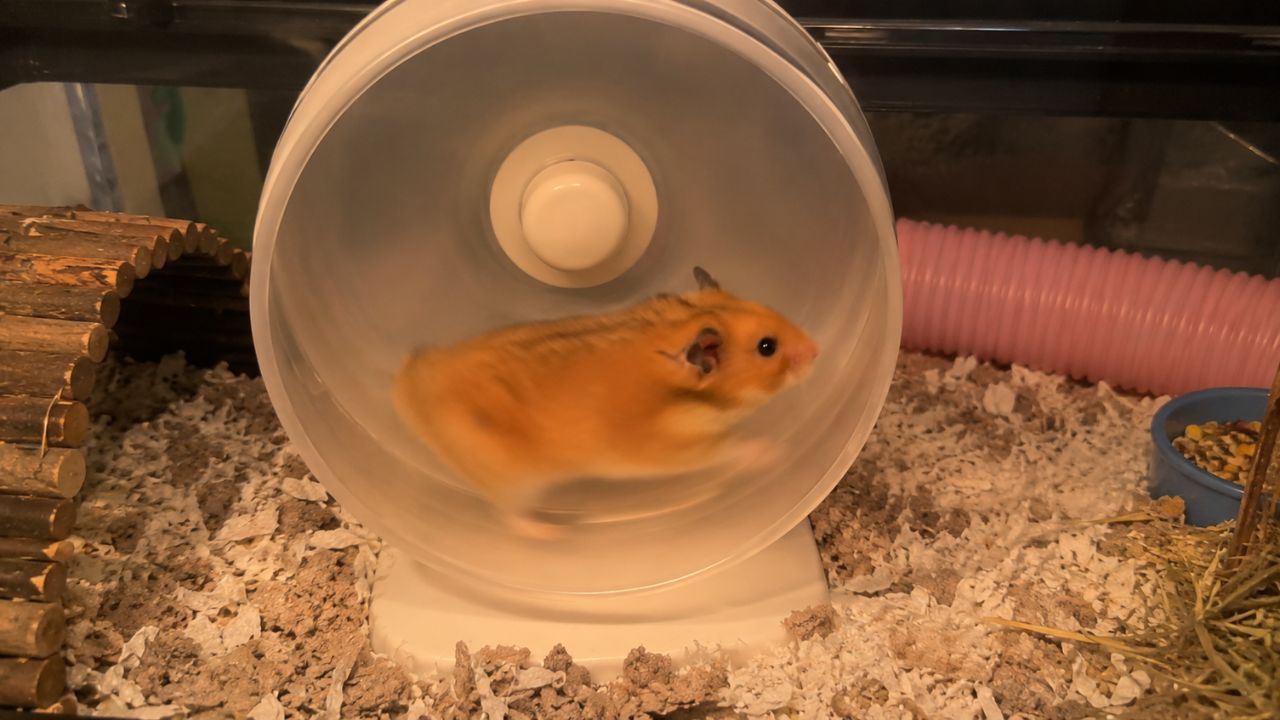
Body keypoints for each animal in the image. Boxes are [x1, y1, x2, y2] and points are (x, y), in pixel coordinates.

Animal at [392, 266, 819, 539]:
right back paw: (553, 532)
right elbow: (732, 447)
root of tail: (410, 388)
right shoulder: (675, 447)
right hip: (512, 476)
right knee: (507, 515)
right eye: (767, 348)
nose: (817, 351)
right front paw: (775, 452)